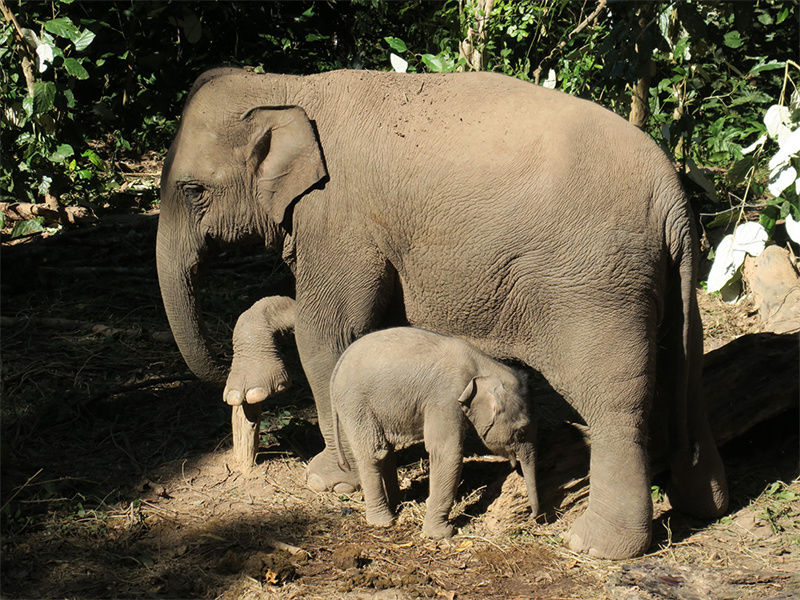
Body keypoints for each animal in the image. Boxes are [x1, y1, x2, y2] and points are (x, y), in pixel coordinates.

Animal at [332, 328, 536, 540]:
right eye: (521, 431)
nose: (535, 517)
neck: (484, 365)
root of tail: (339, 365)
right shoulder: (445, 398)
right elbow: (447, 452)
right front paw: (442, 534)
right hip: (356, 404)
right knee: (373, 453)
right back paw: (383, 521)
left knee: (385, 451)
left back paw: (397, 503)